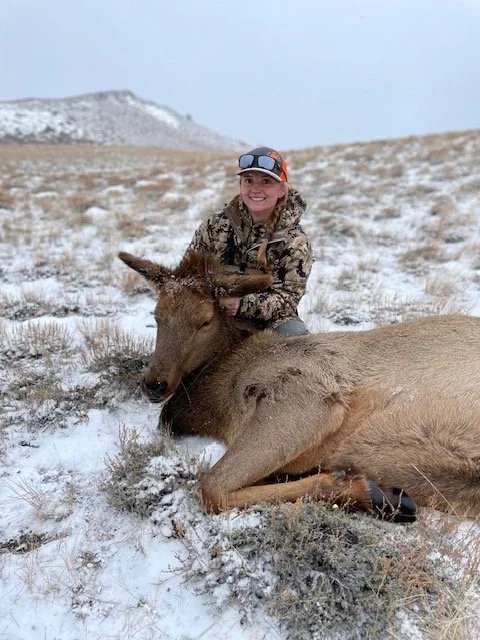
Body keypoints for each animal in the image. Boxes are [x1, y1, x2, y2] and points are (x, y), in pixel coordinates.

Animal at [119, 250, 480, 523]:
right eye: (156, 315)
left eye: (205, 320)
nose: (154, 384)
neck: (215, 406)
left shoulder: (306, 395)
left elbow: (211, 487)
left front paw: (368, 491)